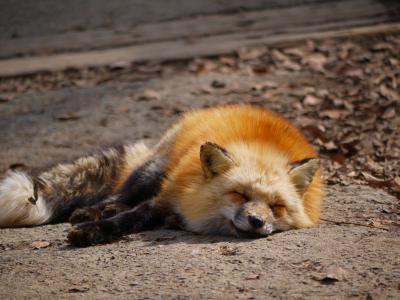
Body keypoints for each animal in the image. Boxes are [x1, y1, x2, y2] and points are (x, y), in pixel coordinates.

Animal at [0, 105, 324, 246]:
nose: (257, 221)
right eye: (239, 194)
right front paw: (92, 230)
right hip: (153, 171)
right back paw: (94, 211)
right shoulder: (170, 195)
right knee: (121, 195)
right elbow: (130, 217)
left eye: (276, 207)